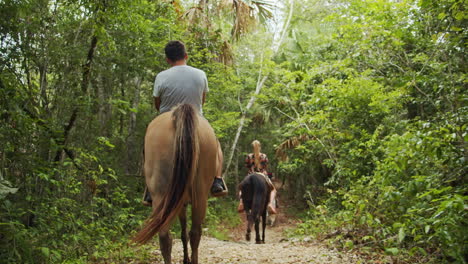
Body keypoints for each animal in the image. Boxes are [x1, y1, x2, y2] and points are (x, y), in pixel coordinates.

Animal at [133, 103, 223, 264]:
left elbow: (182, 232)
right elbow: (184, 232)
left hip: (163, 194)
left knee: (165, 235)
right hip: (199, 195)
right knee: (194, 233)